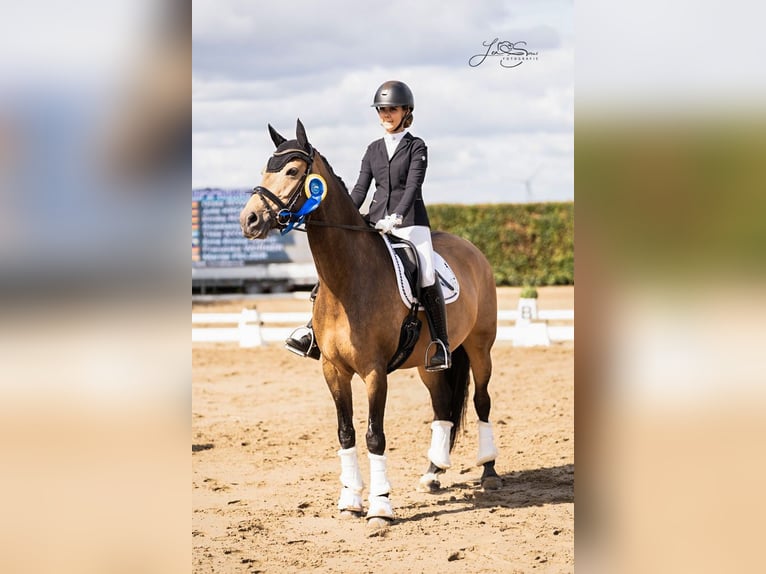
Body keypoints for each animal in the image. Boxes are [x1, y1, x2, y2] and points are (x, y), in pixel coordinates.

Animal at [240, 119, 501, 534]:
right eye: (265, 169)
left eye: (293, 171)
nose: (248, 220)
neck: (347, 279)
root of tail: (472, 249)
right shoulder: (333, 370)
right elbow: (346, 433)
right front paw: (350, 501)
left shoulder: (375, 372)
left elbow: (375, 436)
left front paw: (380, 507)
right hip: (428, 363)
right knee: (441, 406)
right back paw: (432, 474)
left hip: (480, 345)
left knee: (482, 400)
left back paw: (489, 470)